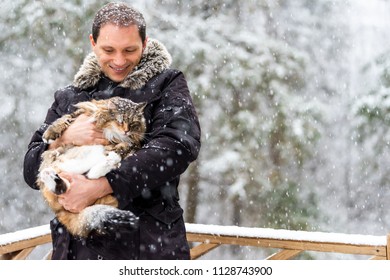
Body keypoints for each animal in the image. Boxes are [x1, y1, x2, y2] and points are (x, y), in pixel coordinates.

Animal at [37, 97, 146, 238]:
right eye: (120, 120)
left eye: (132, 123)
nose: (126, 131)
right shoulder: (82, 112)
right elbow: (64, 119)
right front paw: (49, 134)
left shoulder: (132, 145)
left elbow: (124, 146)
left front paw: (117, 149)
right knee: (68, 182)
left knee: (88, 176)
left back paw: (109, 160)